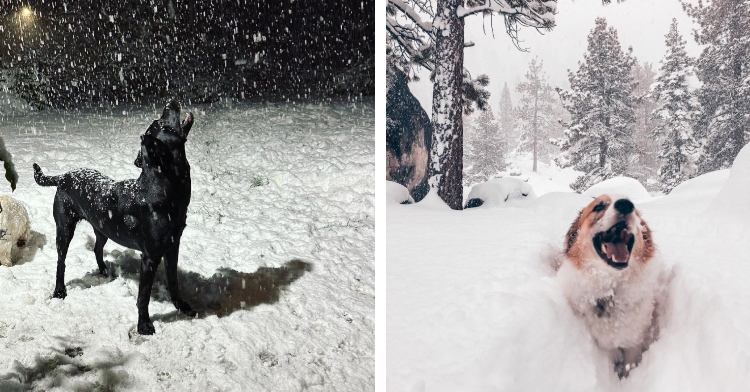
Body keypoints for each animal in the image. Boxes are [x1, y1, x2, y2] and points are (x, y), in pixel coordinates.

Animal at [33, 102, 195, 336]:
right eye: (161, 123)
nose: (170, 102)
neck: (165, 187)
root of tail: (64, 176)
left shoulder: (173, 247)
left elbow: (174, 282)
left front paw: (180, 306)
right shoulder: (150, 257)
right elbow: (143, 295)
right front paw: (144, 325)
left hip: (103, 228)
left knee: (96, 248)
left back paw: (103, 271)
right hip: (64, 228)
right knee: (60, 261)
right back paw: (60, 291)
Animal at [560, 196, 656, 380]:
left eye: (635, 211)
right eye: (598, 206)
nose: (625, 204)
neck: (611, 292)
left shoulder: (634, 341)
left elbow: (630, 364)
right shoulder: (605, 345)